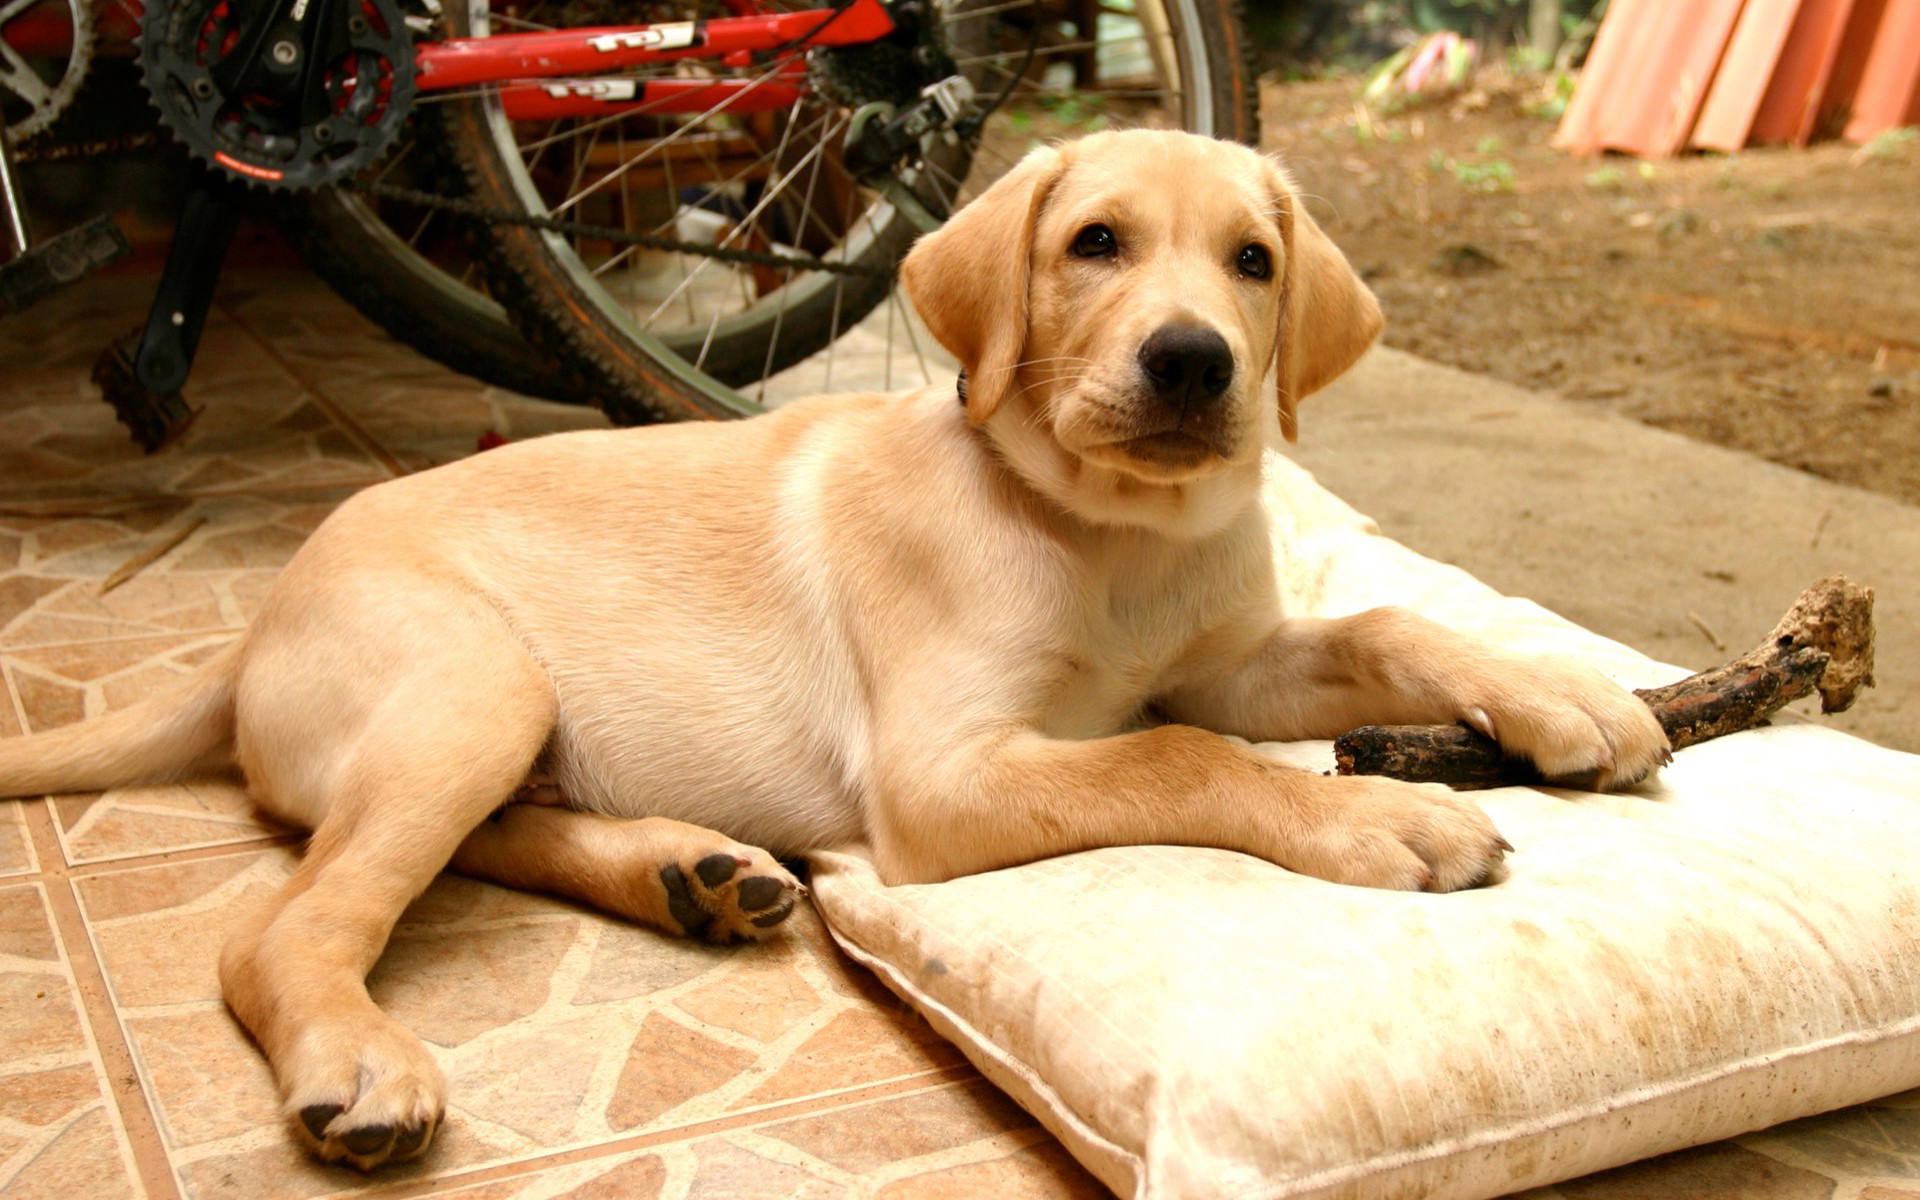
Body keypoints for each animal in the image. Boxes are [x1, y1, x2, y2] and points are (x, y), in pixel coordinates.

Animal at [0, 128, 1666, 1159]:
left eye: (1254, 262)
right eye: (1095, 243)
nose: (1192, 363)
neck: (1107, 537)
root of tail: (258, 622)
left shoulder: (1230, 655)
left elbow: (1379, 621)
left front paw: (1563, 691)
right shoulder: (947, 773)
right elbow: (1183, 757)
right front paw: (1385, 812)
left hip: (494, 725)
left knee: (485, 839)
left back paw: (691, 875)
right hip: (471, 684)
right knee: (282, 929)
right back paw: (363, 1063)